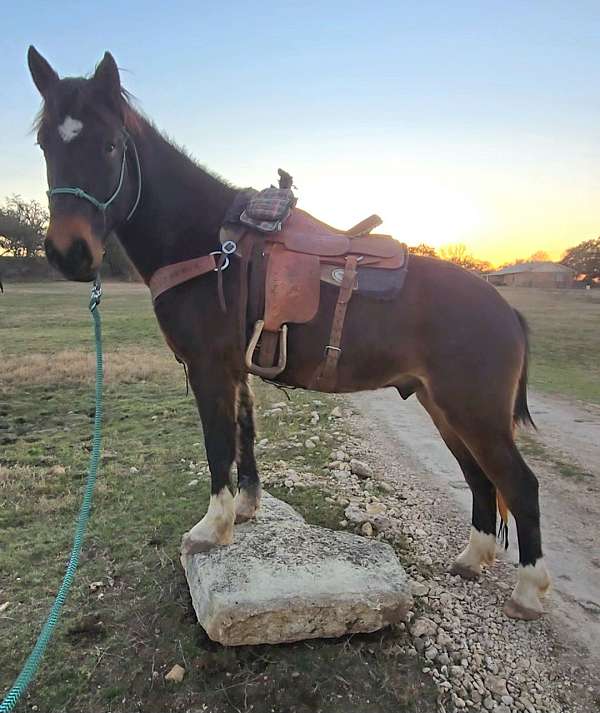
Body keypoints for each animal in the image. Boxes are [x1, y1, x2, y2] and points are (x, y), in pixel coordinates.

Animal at [27, 46, 551, 621]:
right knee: (481, 480)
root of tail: (506, 310)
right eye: (45, 143)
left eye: (111, 145)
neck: (209, 244)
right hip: (444, 409)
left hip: (474, 413)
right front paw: (246, 509)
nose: (69, 252)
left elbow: (218, 444)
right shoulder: (235, 370)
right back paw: (472, 559)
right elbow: (244, 434)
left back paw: (529, 590)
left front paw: (212, 528)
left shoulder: (209, 368)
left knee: (519, 485)